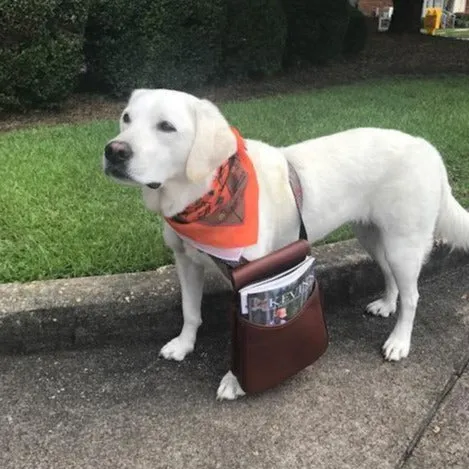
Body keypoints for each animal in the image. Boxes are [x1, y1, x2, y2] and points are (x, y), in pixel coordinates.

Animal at [103, 88, 468, 398]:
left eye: (166, 126)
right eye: (126, 118)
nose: (113, 151)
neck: (203, 194)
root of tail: (427, 148)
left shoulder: (248, 276)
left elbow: (241, 337)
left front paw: (236, 381)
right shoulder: (186, 262)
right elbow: (190, 311)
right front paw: (183, 344)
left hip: (403, 244)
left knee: (413, 296)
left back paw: (399, 341)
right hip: (373, 236)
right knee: (391, 277)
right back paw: (387, 303)